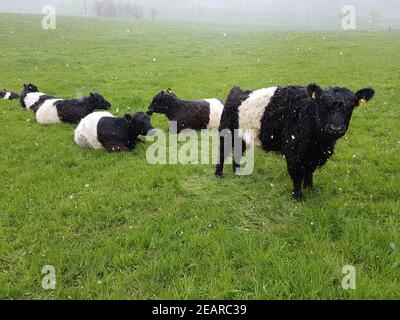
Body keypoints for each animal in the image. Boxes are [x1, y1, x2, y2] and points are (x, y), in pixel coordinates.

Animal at [216, 84, 376, 201]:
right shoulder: (293, 151)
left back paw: (238, 171)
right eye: (323, 104)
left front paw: (309, 187)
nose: (335, 128)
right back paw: (219, 174)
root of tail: (236, 91)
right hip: (227, 132)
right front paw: (297, 196)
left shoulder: (313, 155)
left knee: (237, 153)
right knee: (223, 152)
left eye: (350, 107)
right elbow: (297, 174)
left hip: (241, 137)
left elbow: (310, 171)